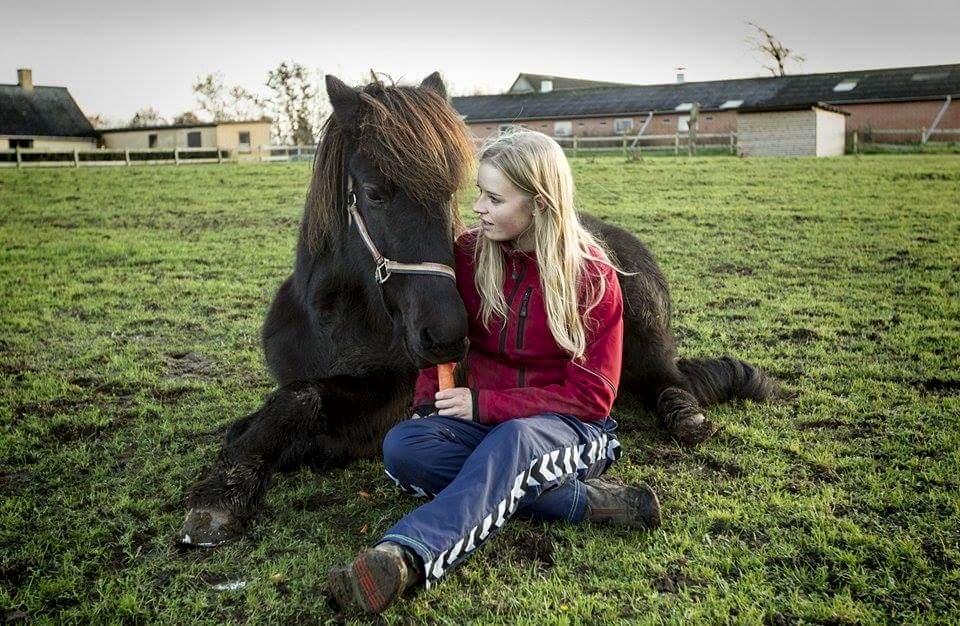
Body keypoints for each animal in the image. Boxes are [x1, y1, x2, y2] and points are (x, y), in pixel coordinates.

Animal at [176, 70, 776, 544]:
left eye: (451, 191)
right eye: (374, 193)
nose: (446, 334)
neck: (335, 322)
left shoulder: (392, 402)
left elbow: (304, 402)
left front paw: (222, 492)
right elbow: (284, 402)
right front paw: (236, 467)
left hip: (643, 341)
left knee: (668, 380)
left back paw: (683, 415)